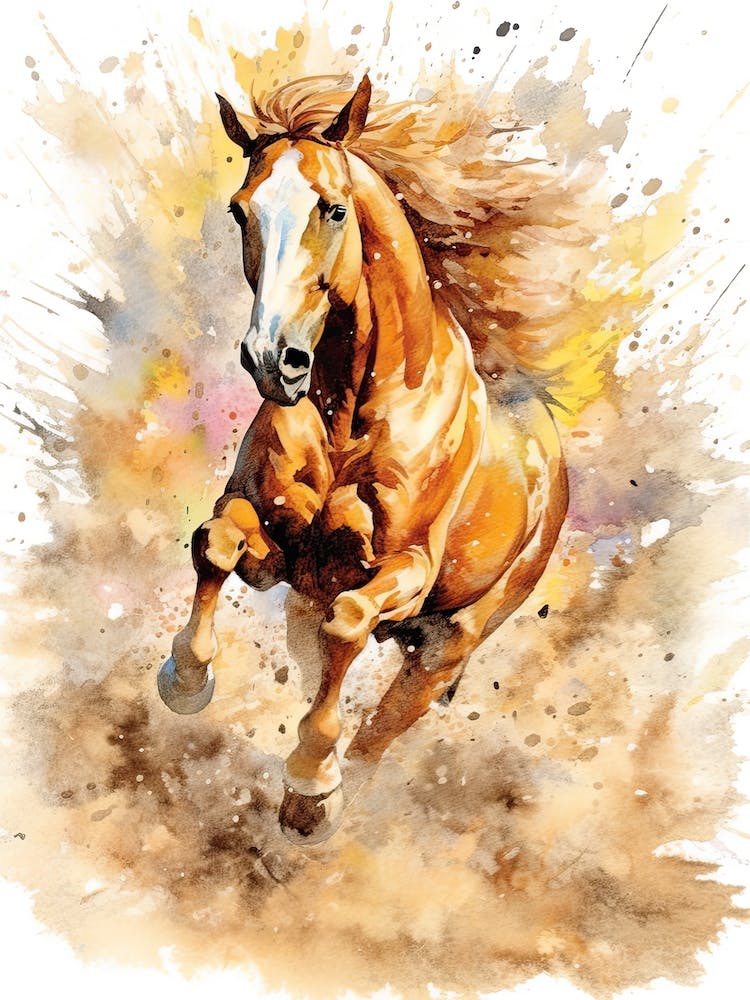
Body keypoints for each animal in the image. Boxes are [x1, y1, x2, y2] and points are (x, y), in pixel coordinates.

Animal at [157, 74, 568, 844]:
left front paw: (311, 784)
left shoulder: (400, 572)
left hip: (448, 643)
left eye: (335, 208)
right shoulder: (275, 550)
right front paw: (185, 680)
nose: (273, 360)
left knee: (383, 731)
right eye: (239, 210)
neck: (353, 417)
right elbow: (215, 545)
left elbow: (348, 624)